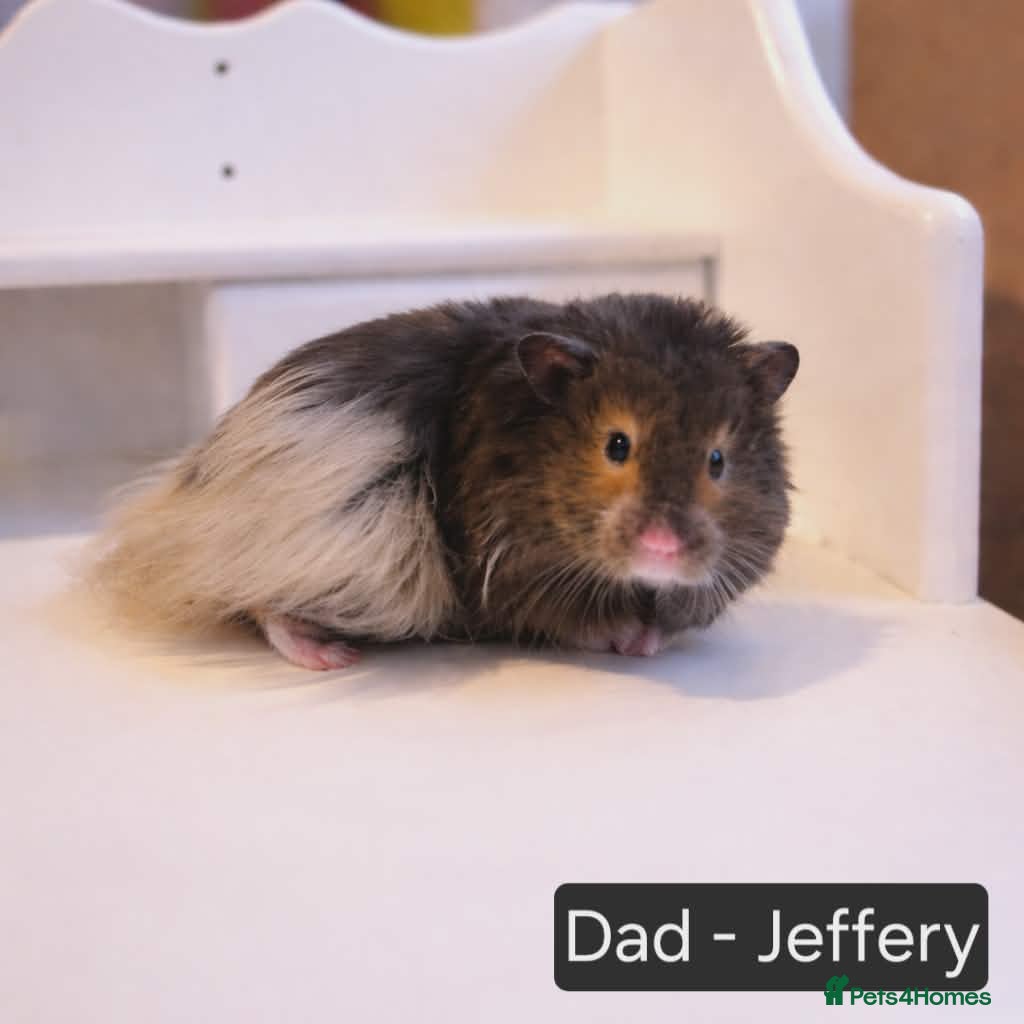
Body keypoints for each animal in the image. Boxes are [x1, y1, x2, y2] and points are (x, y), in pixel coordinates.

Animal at [87, 293, 799, 670]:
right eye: (616, 445)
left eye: (717, 460)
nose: (663, 549)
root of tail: (191, 481)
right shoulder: (517, 582)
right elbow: (576, 623)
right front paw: (627, 640)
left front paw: (649, 641)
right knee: (257, 601)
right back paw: (328, 657)